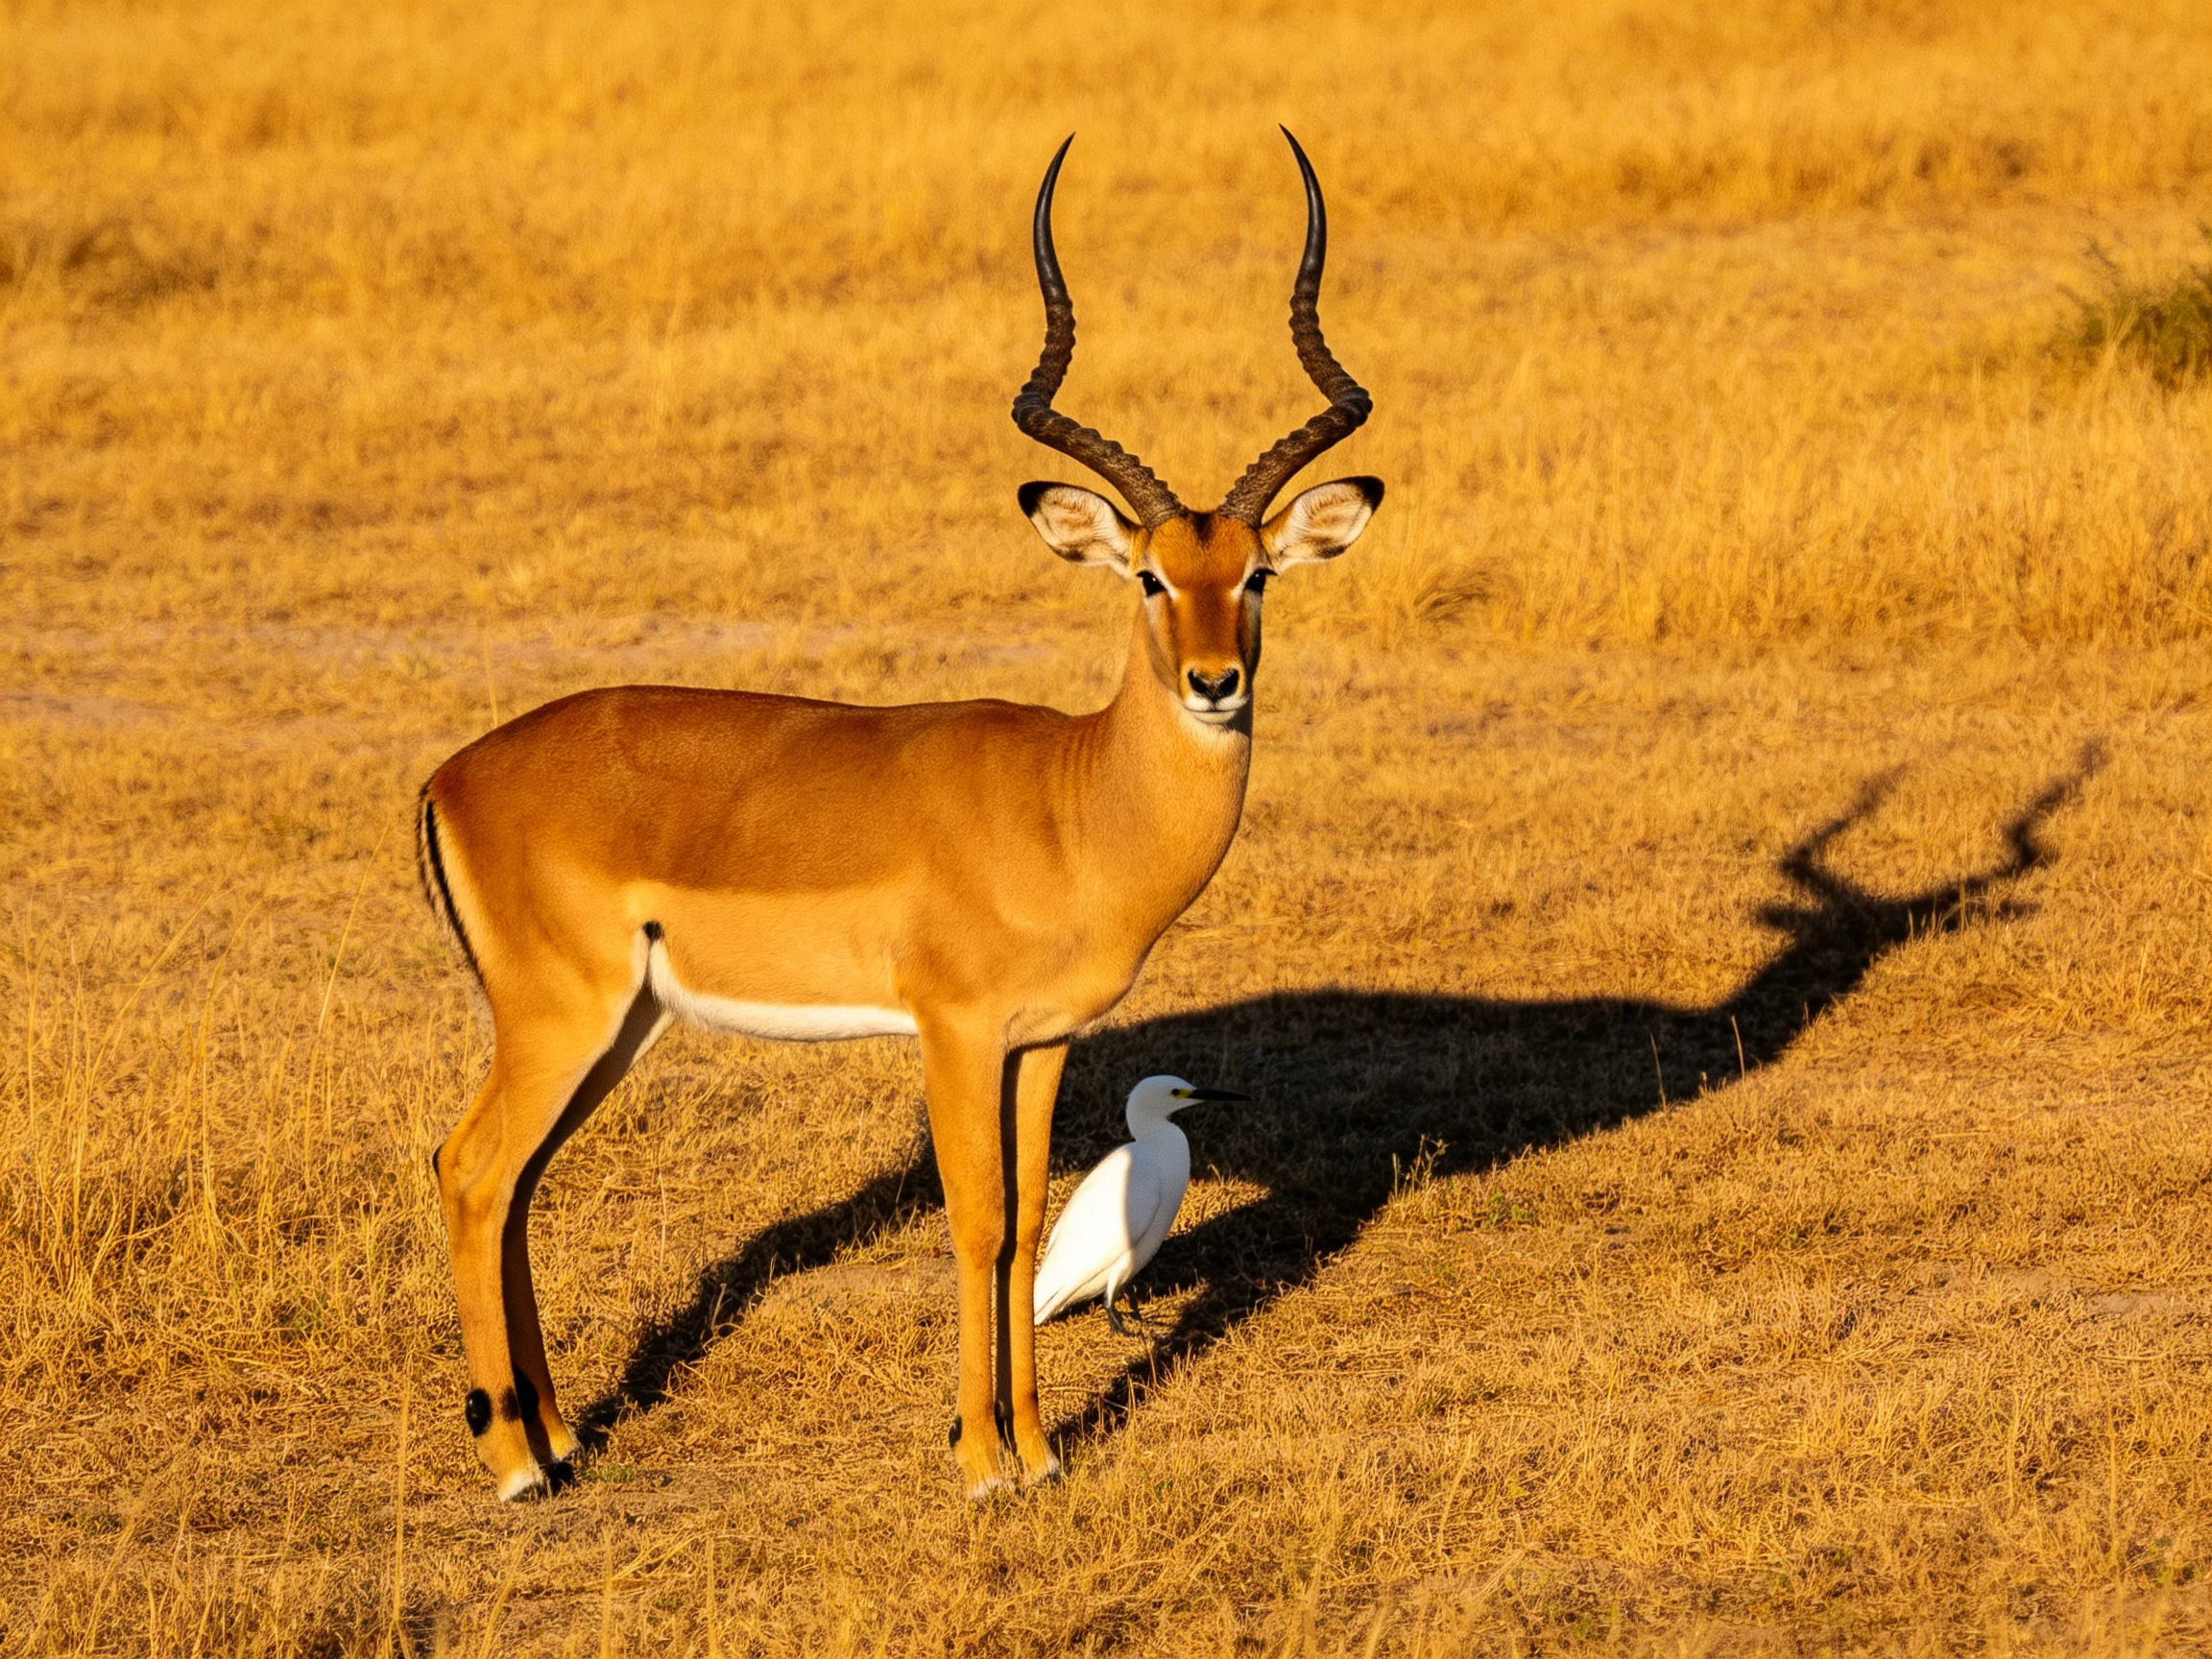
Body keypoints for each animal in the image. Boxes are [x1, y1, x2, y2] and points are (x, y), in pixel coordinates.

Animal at [416, 129, 1382, 1501]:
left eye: (1255, 575)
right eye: (1150, 577)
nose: (1215, 683)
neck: (1073, 801)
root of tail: (450, 775)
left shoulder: (1042, 1042)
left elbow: (1026, 1223)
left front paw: (1039, 1451)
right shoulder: (956, 1032)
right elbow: (977, 1222)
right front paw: (980, 1460)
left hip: (618, 1028)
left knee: (516, 1185)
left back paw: (559, 1437)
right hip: (564, 1018)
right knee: (471, 1169)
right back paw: (515, 1466)